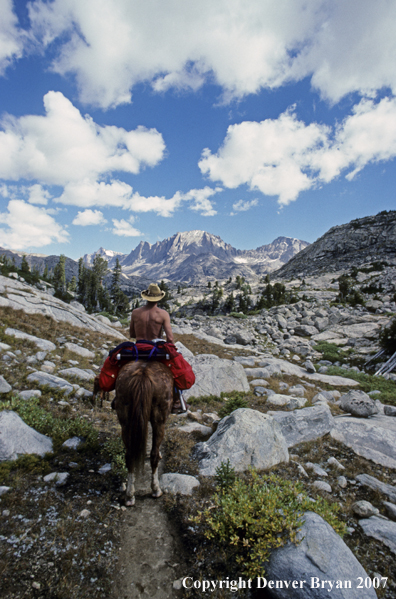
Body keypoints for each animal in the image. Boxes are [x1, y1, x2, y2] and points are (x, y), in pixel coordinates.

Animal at [111, 360, 173, 506]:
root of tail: (143, 374)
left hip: (125, 419)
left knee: (129, 456)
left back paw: (129, 495)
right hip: (159, 417)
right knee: (154, 454)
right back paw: (156, 490)